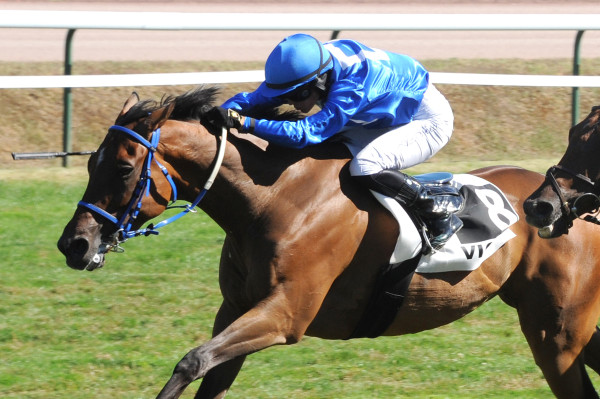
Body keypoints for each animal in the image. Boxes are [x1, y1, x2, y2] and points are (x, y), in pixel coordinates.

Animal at [58, 88, 600, 399]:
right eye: (91, 162)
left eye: (123, 168)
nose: (74, 245)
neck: (273, 198)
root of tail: (575, 206)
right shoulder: (236, 309)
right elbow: (208, 369)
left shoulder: (285, 314)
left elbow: (192, 360)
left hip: (556, 336)